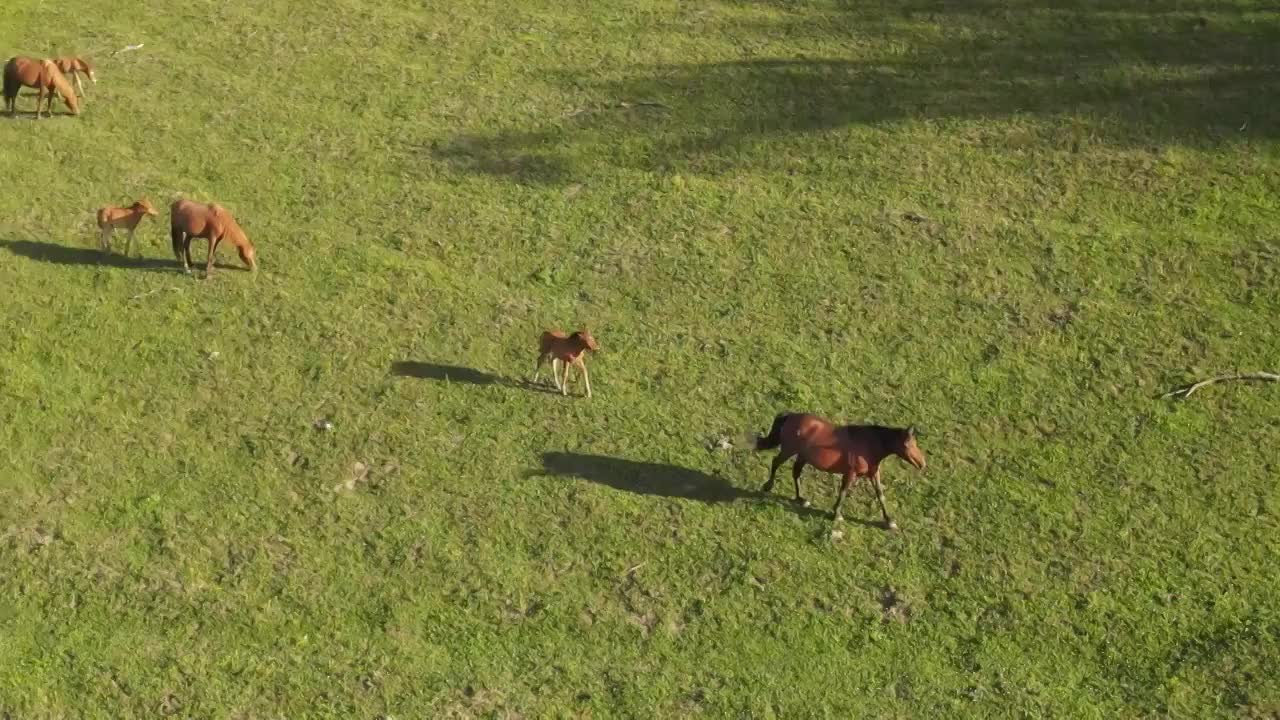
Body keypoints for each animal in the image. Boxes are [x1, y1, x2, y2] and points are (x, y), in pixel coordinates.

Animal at [747, 409, 921, 527]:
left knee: (796, 473)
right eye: (910, 444)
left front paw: (889, 521)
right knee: (776, 462)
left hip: (802, 456)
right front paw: (837, 514)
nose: (922, 463)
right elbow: (843, 492)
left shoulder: (873, 473)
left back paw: (801, 499)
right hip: (789, 450)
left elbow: (880, 494)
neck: (868, 444)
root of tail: (791, 416)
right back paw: (768, 486)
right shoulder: (850, 474)